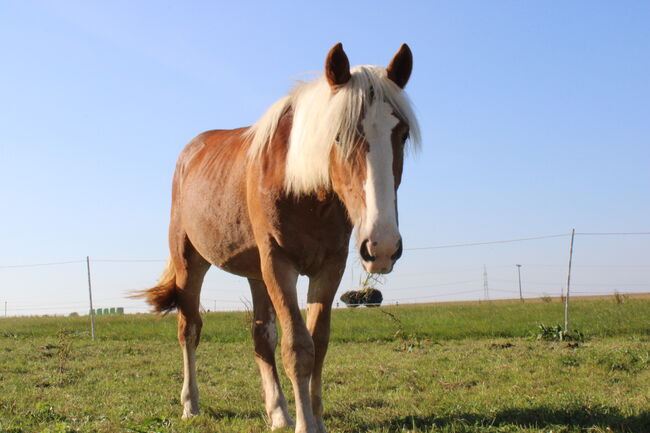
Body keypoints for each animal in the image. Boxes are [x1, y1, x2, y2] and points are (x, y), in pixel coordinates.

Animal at [137, 41, 420, 432]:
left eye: (402, 134)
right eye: (337, 135)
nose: (382, 247)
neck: (301, 187)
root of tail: (192, 150)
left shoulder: (328, 267)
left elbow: (318, 342)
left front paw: (314, 419)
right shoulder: (279, 263)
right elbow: (298, 348)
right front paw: (305, 424)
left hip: (256, 274)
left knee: (261, 336)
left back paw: (278, 412)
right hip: (191, 262)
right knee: (189, 328)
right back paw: (190, 403)